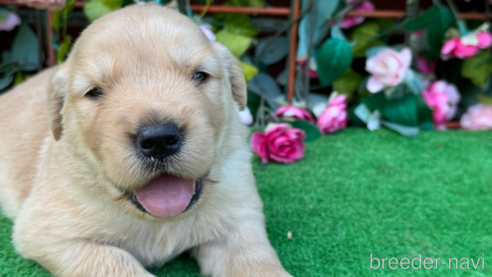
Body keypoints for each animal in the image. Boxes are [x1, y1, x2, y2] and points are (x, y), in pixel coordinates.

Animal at [0, 4, 292, 276]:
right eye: (95, 92)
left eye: (199, 75)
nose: (159, 139)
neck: (159, 221)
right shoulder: (49, 231)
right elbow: (113, 260)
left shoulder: (240, 219)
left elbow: (257, 263)